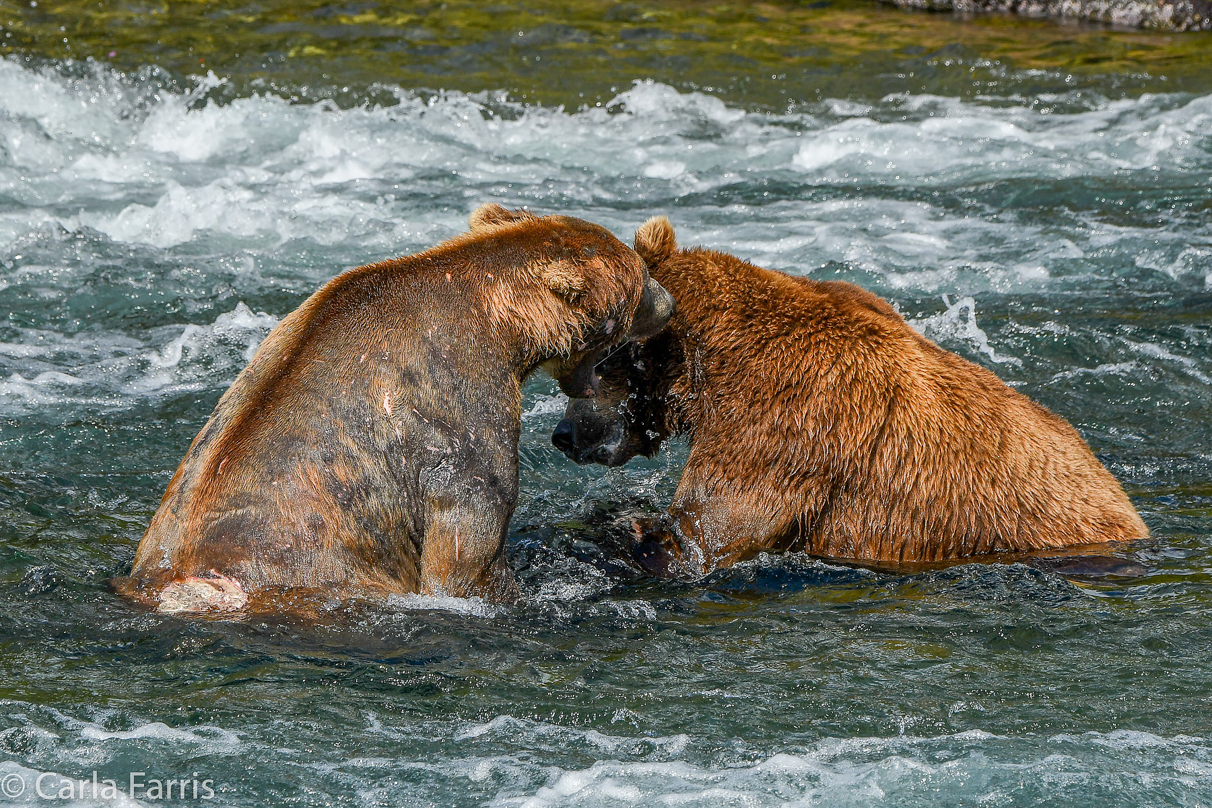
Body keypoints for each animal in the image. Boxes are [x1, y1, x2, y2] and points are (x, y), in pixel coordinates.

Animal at [555, 218, 1148, 579]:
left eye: (589, 365)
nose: (564, 434)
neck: (709, 371)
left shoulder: (781, 425)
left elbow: (701, 535)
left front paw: (624, 533)